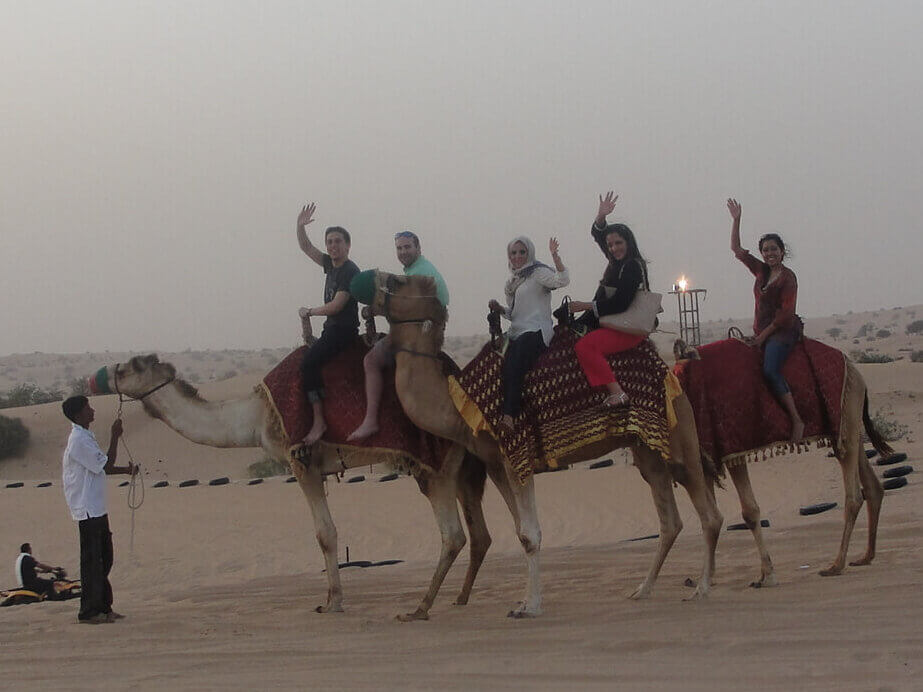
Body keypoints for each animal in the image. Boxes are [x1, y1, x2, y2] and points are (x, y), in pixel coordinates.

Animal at [97, 352, 494, 620]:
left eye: (126, 369)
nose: (97, 378)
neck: (253, 416)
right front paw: (333, 598)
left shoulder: (300, 460)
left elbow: (325, 534)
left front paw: (332, 602)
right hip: (462, 463)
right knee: (477, 534)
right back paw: (457, 598)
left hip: (435, 463)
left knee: (453, 535)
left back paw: (420, 608)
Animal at [360, 270, 728, 616]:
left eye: (397, 280)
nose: (364, 287)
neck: (461, 402)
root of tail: (670, 374)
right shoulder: (498, 465)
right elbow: (522, 531)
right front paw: (526, 601)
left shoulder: (516, 454)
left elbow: (530, 534)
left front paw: (530, 607)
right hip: (646, 450)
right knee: (670, 521)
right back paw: (643, 589)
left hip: (680, 440)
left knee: (709, 515)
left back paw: (701, 589)